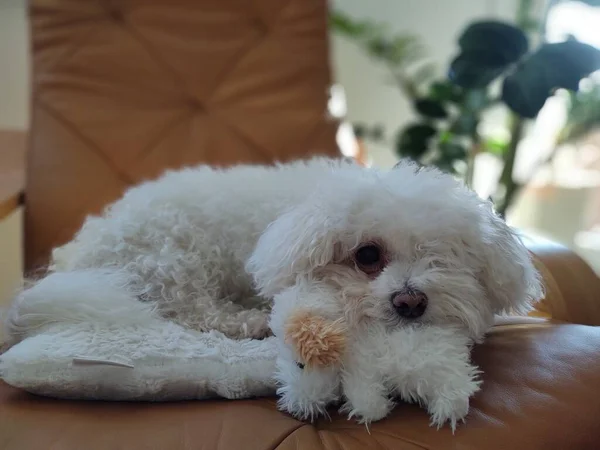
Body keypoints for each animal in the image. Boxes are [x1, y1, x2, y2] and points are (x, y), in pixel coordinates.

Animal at [2, 156, 540, 428]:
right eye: (367, 255)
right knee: (189, 309)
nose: (410, 302)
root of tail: (84, 250)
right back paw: (252, 319)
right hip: (176, 256)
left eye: (442, 258)